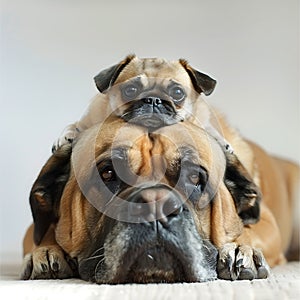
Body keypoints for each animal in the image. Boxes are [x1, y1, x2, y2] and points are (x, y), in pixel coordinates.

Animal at [21, 115, 298, 284]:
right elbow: (40, 234)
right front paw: (45, 251)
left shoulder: (268, 224)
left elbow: (250, 230)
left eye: (194, 176)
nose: (155, 205)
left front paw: (241, 248)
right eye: (108, 173)